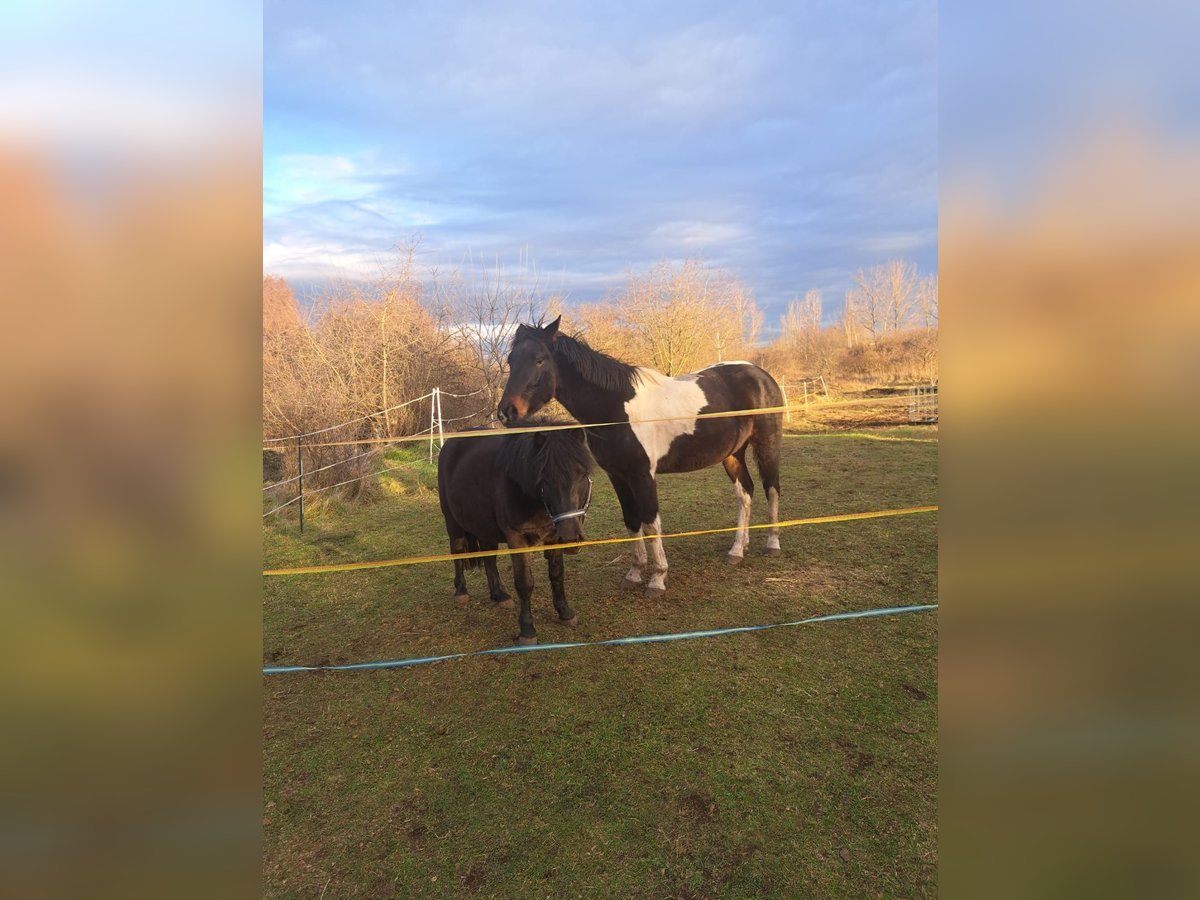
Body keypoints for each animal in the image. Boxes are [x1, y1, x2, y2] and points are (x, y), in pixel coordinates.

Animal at [439, 420, 592, 643]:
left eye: (583, 474)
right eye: (544, 478)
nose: (571, 538)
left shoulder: (554, 536)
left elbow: (557, 574)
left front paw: (565, 612)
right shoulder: (516, 538)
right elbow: (524, 583)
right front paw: (527, 629)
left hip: (485, 527)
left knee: (489, 558)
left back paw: (500, 595)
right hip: (453, 522)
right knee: (457, 551)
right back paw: (461, 591)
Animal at [494, 316, 782, 600]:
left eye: (539, 359)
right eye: (511, 360)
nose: (507, 412)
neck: (616, 409)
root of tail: (761, 375)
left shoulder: (643, 475)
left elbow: (652, 523)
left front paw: (657, 579)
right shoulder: (618, 476)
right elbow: (632, 521)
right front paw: (634, 574)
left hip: (767, 444)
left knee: (771, 488)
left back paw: (772, 543)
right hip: (733, 454)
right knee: (745, 494)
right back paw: (737, 550)